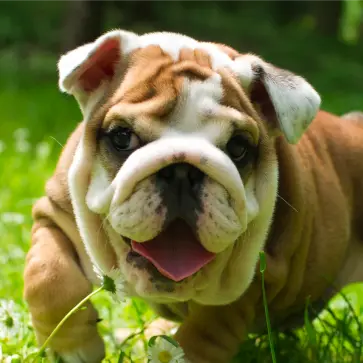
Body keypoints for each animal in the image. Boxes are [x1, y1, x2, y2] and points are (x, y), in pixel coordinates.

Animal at [23, 29, 363, 363]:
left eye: (238, 147)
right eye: (122, 137)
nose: (182, 172)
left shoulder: (248, 282)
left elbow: (206, 331)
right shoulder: (55, 214)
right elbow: (48, 275)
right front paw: (72, 348)